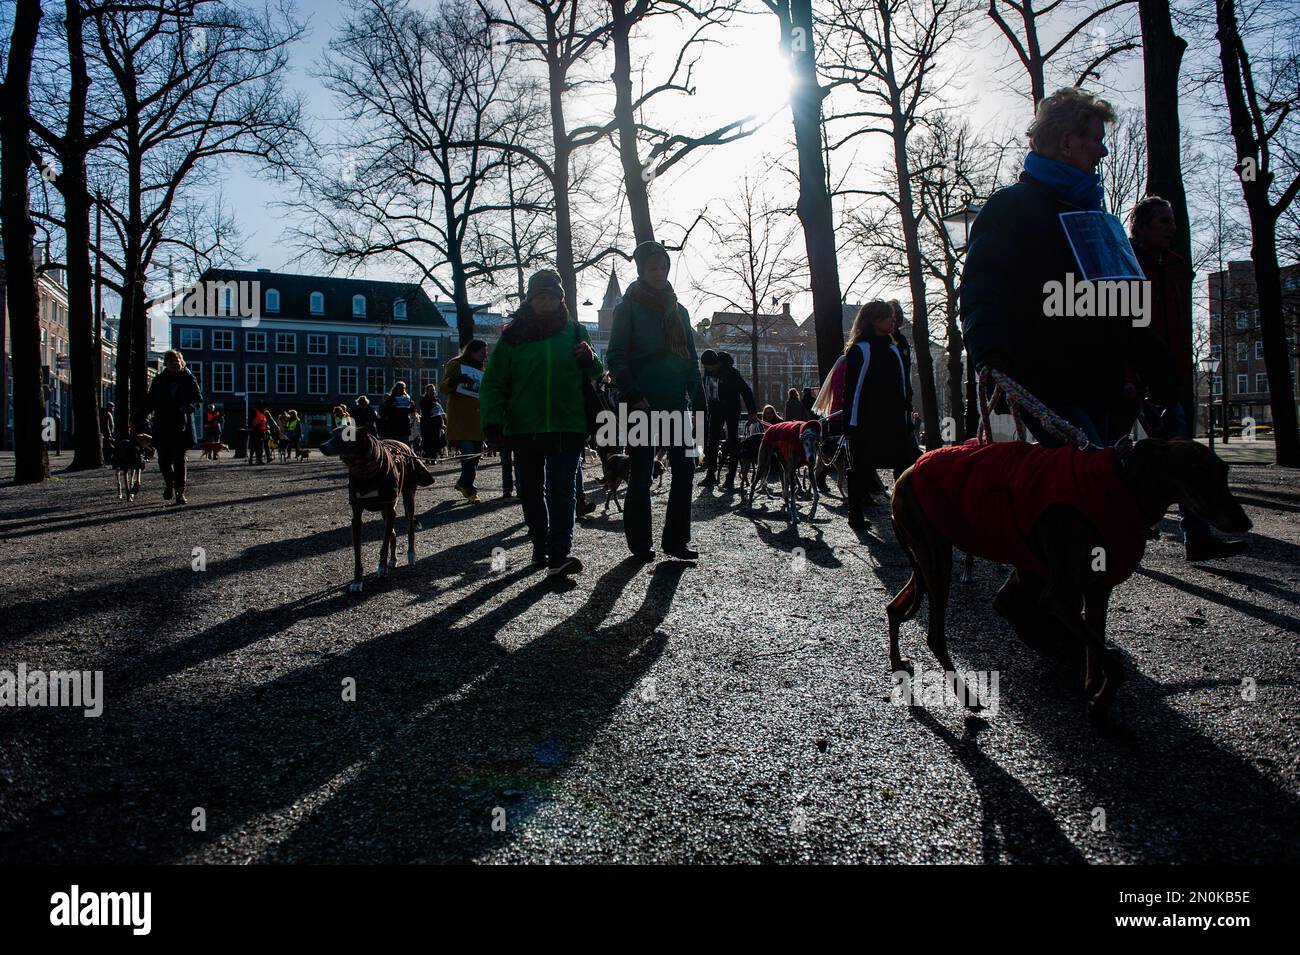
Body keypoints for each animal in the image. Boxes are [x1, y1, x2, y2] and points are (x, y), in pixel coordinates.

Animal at [319, 428, 436, 595]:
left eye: (344, 437)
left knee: (409, 528)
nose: (322, 446)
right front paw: (357, 581)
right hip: (384, 513)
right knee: (392, 533)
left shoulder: (390, 507)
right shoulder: (357, 516)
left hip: (407, 500)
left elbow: (384, 544)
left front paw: (381, 568)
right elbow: (358, 552)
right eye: (331, 434)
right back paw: (392, 559)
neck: (365, 471)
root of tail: (402, 444)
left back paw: (411, 555)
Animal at [883, 439, 1248, 732]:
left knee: (895, 607)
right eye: (1197, 471)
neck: (1123, 485)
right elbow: (1112, 662)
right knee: (934, 635)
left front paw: (1095, 697)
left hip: (926, 559)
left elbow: (1097, 650)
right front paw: (1100, 706)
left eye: (1224, 471)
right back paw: (967, 697)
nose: (1244, 522)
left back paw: (898, 663)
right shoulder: (1057, 596)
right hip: (936, 559)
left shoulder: (1098, 591)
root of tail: (905, 474)